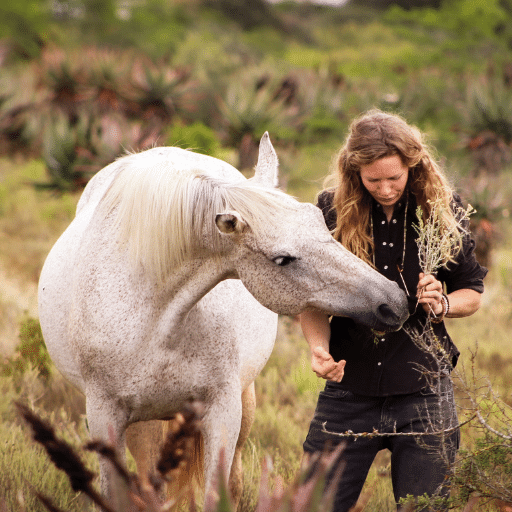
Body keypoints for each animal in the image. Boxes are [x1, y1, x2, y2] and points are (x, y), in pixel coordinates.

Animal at [38, 134, 408, 506]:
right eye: (283, 259)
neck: (153, 317)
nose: (392, 302)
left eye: (320, 220)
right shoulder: (104, 419)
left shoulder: (223, 411)